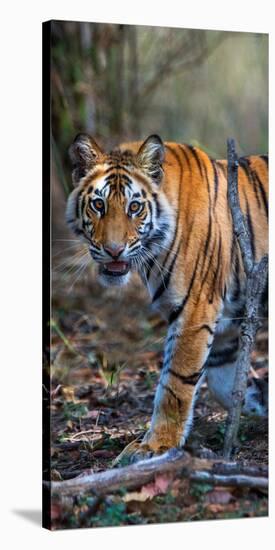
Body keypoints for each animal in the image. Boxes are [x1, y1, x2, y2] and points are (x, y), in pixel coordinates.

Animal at [66, 135, 268, 462]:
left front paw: (155, 446)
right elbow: (226, 385)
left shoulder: (195, 311)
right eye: (98, 204)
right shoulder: (226, 325)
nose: (113, 251)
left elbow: (175, 384)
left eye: (135, 207)